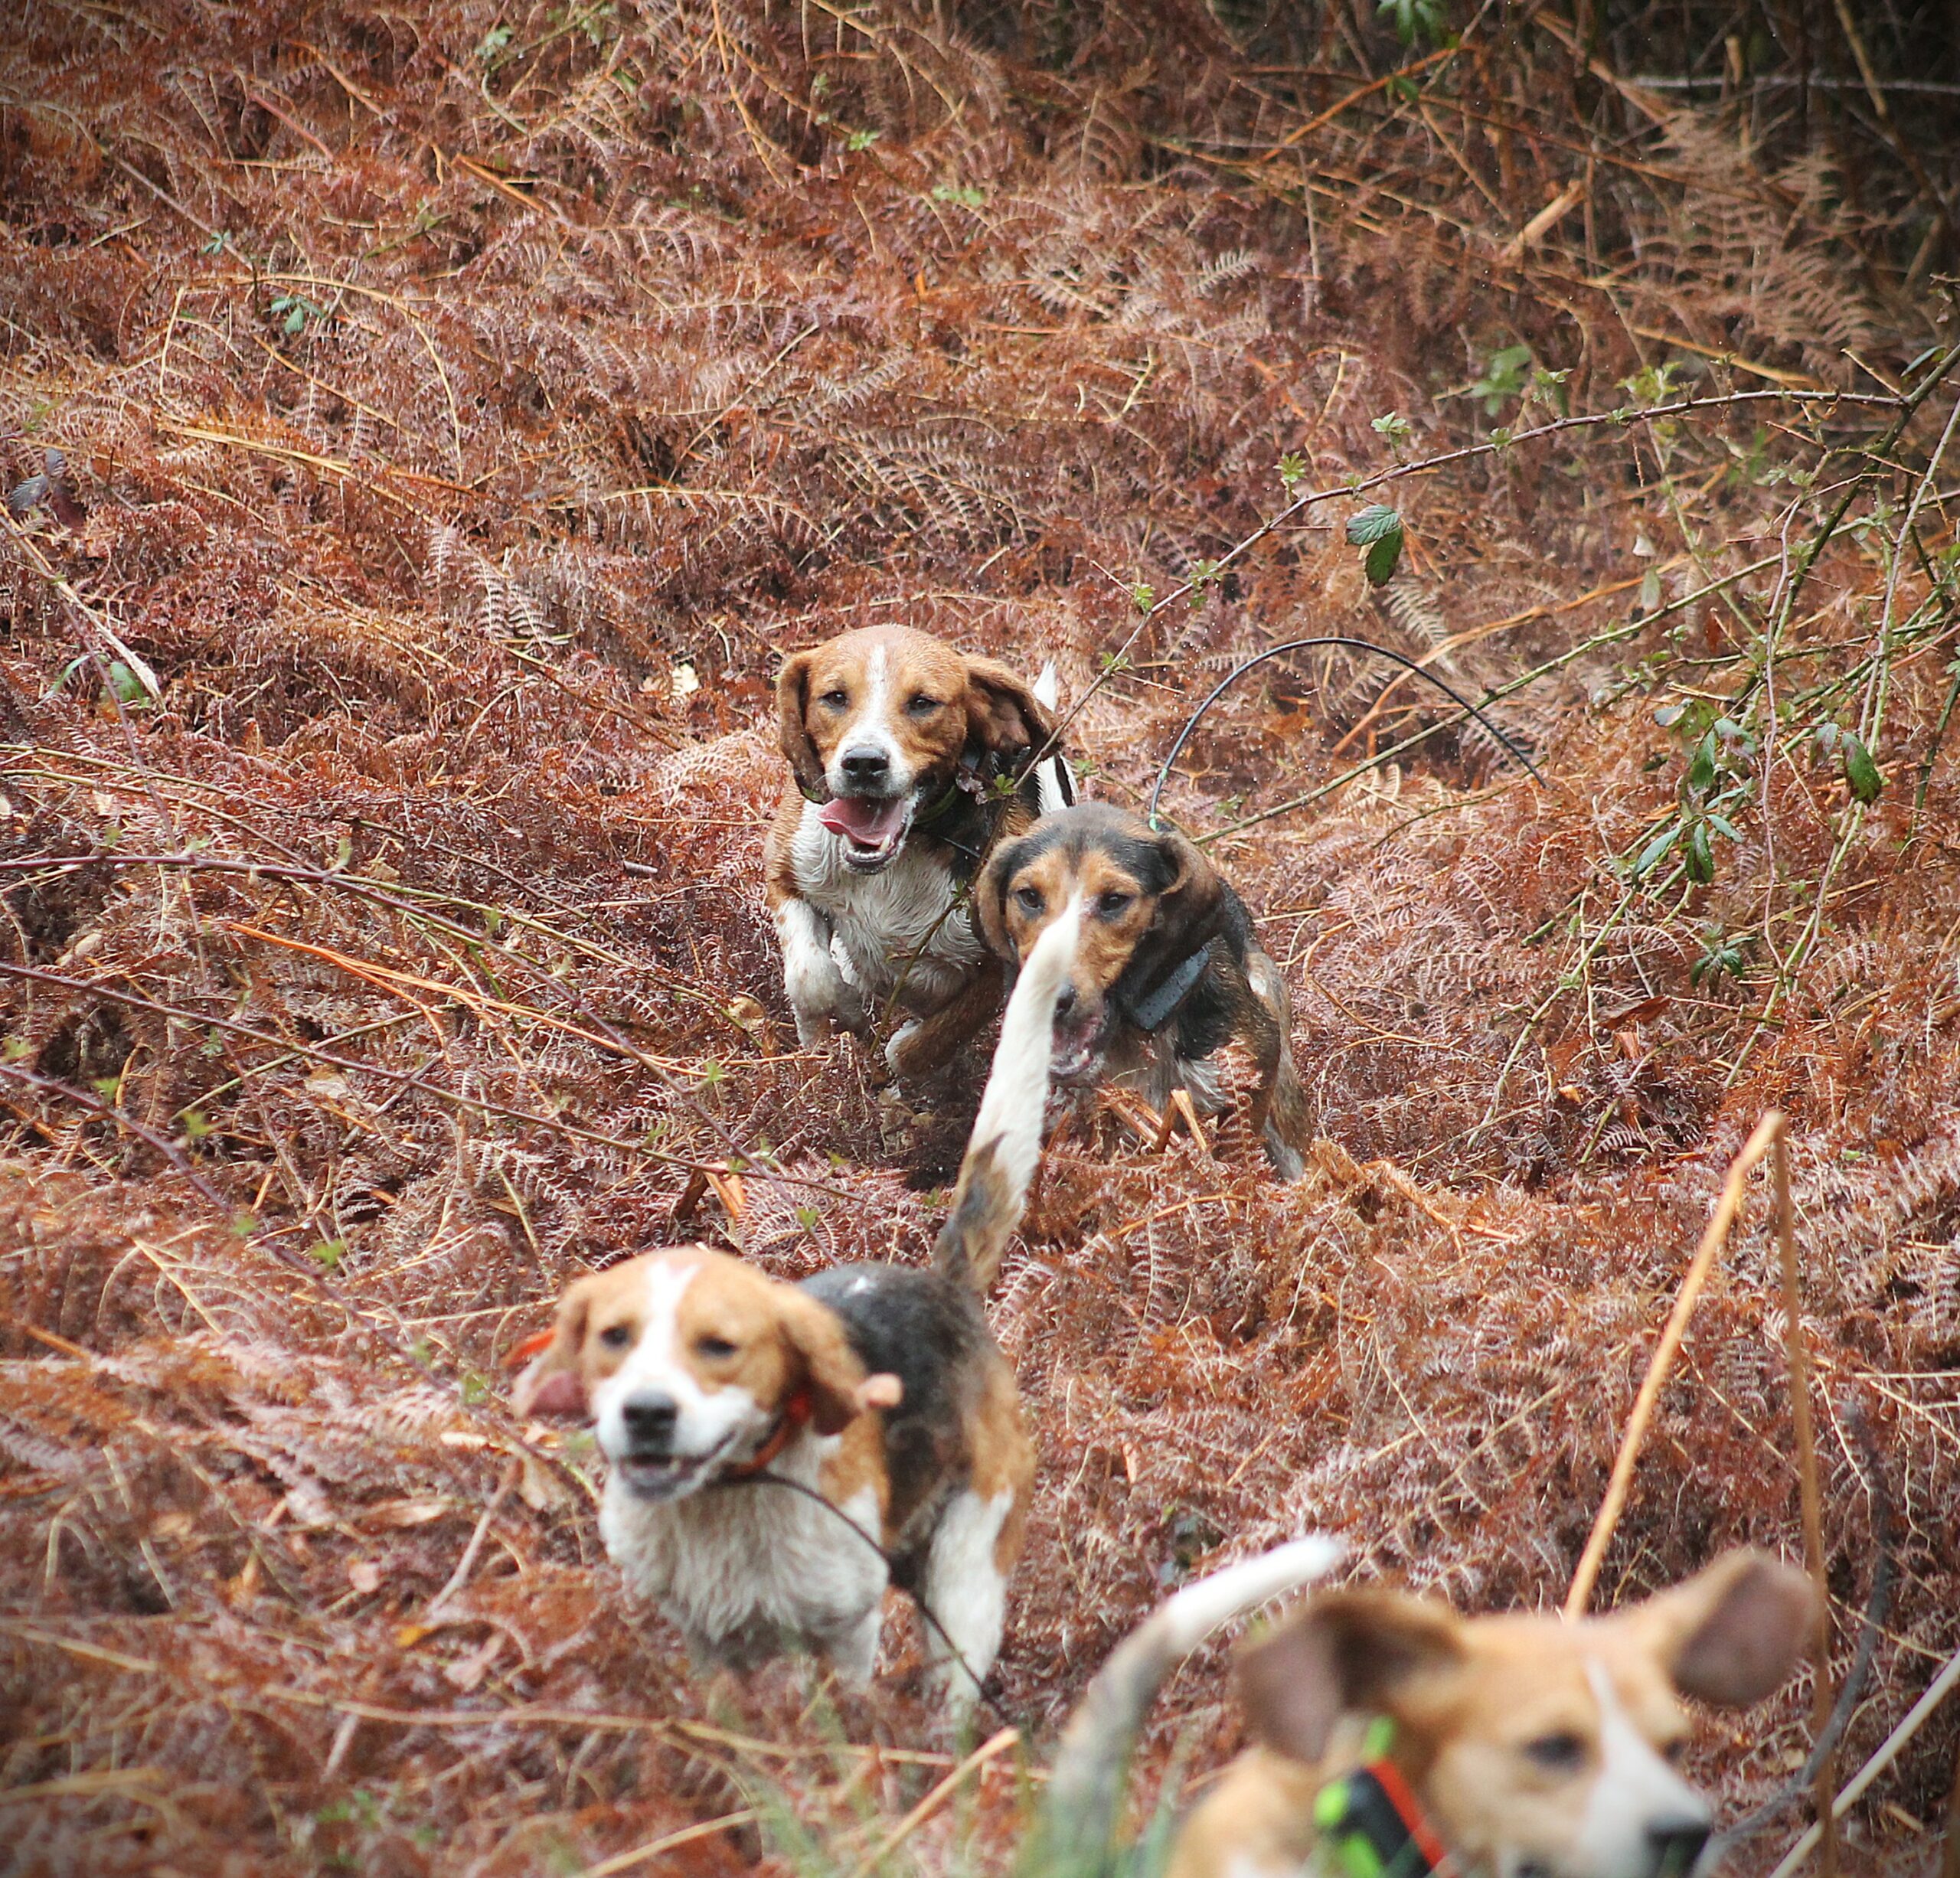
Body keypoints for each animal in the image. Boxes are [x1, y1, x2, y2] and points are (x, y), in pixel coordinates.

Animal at [513, 902, 1081, 1707]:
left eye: (722, 1346)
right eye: (613, 1337)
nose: (647, 1413)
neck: (723, 1504)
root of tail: (940, 1288)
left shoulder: (845, 1633)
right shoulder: (702, 1644)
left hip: (963, 1585)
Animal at [767, 625, 1073, 1079]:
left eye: (923, 703)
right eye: (835, 697)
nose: (863, 762)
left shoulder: (1005, 966)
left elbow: (921, 1045)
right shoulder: (785, 874)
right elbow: (811, 979)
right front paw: (836, 1021)